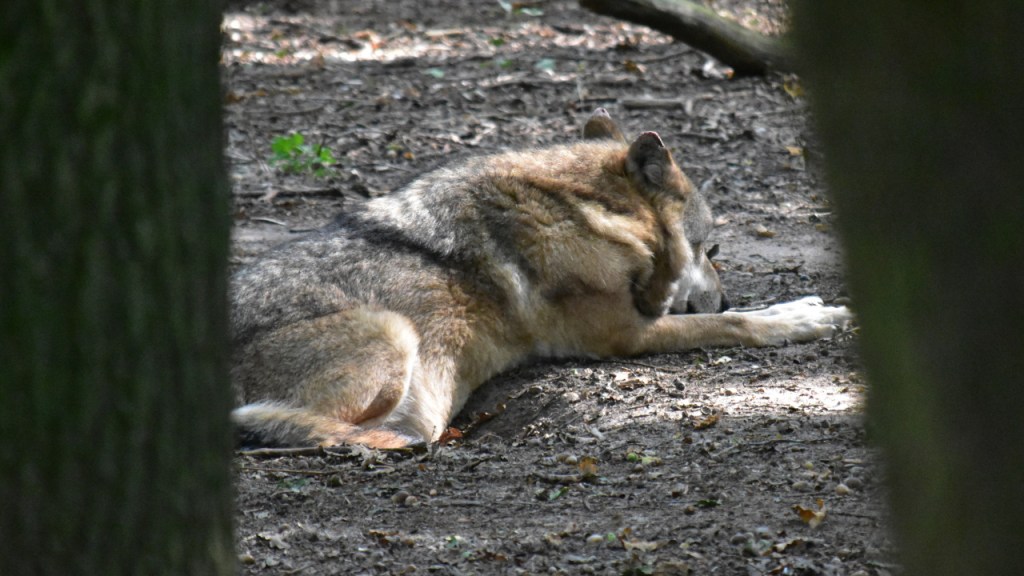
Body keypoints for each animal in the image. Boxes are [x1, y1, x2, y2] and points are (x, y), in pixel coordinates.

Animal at [230, 109, 851, 448]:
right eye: (710, 247)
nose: (723, 295)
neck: (583, 211)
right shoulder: (621, 335)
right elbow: (738, 326)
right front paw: (801, 316)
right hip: (392, 331)